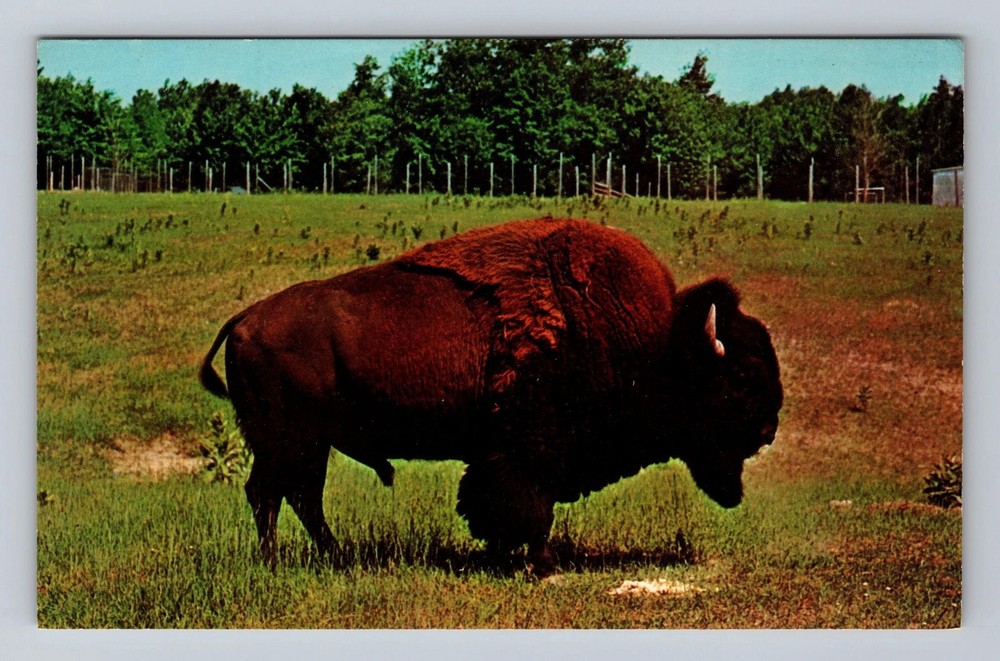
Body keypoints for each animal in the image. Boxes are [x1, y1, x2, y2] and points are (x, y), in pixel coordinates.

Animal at [199, 217, 782, 576]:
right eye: (741, 375)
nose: (769, 429)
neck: (657, 343)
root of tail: (245, 318)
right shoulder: (529, 452)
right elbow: (529, 508)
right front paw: (542, 565)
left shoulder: (502, 455)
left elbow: (496, 506)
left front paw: (506, 556)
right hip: (287, 441)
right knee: (271, 495)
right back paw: (278, 562)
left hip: (306, 444)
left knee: (299, 497)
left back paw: (334, 557)